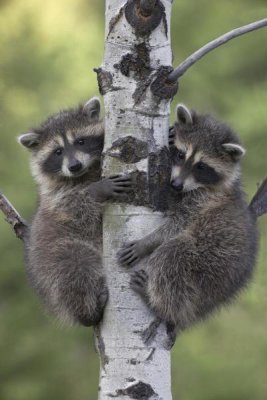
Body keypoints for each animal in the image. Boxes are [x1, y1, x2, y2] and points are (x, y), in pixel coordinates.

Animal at [18, 98, 132, 326]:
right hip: (56, 256)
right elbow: (77, 209)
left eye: (80, 141)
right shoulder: (56, 198)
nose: (74, 166)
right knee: (75, 269)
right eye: (58, 151)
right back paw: (87, 312)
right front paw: (97, 191)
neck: (84, 174)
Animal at [119, 104, 266, 336]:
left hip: (210, 262)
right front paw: (171, 134)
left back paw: (160, 305)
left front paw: (147, 242)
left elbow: (177, 224)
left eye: (202, 166)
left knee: (173, 255)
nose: (176, 184)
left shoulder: (203, 201)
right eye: (181, 154)